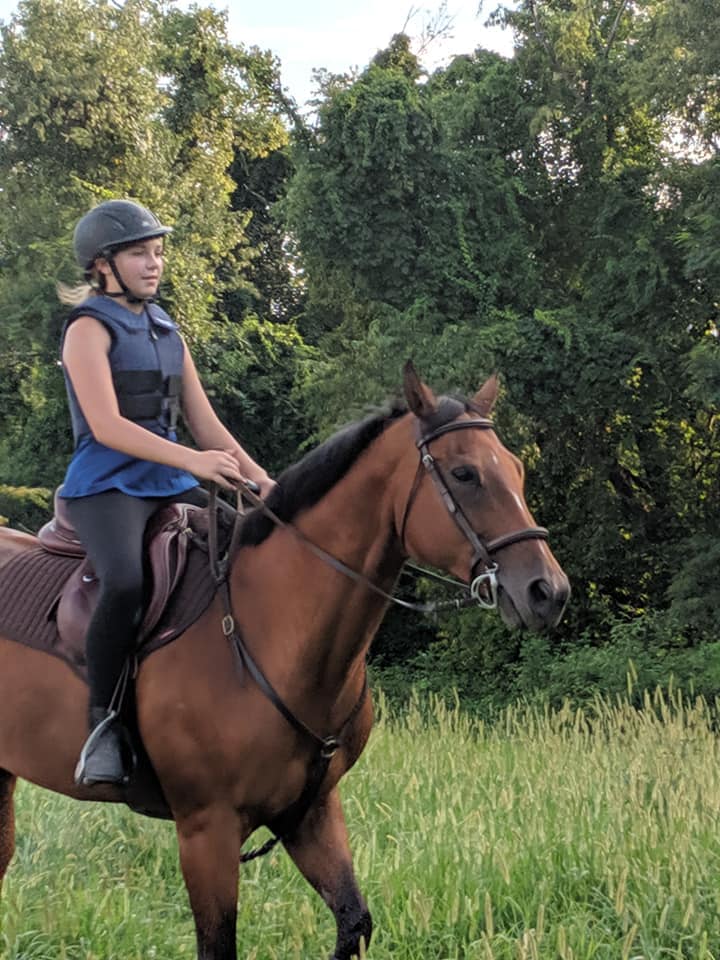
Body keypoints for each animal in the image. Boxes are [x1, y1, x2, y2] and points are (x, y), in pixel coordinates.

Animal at [0, 363, 569, 960]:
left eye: (516, 469)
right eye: (464, 474)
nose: (548, 591)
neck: (270, 632)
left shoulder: (312, 814)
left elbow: (353, 922)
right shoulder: (207, 832)